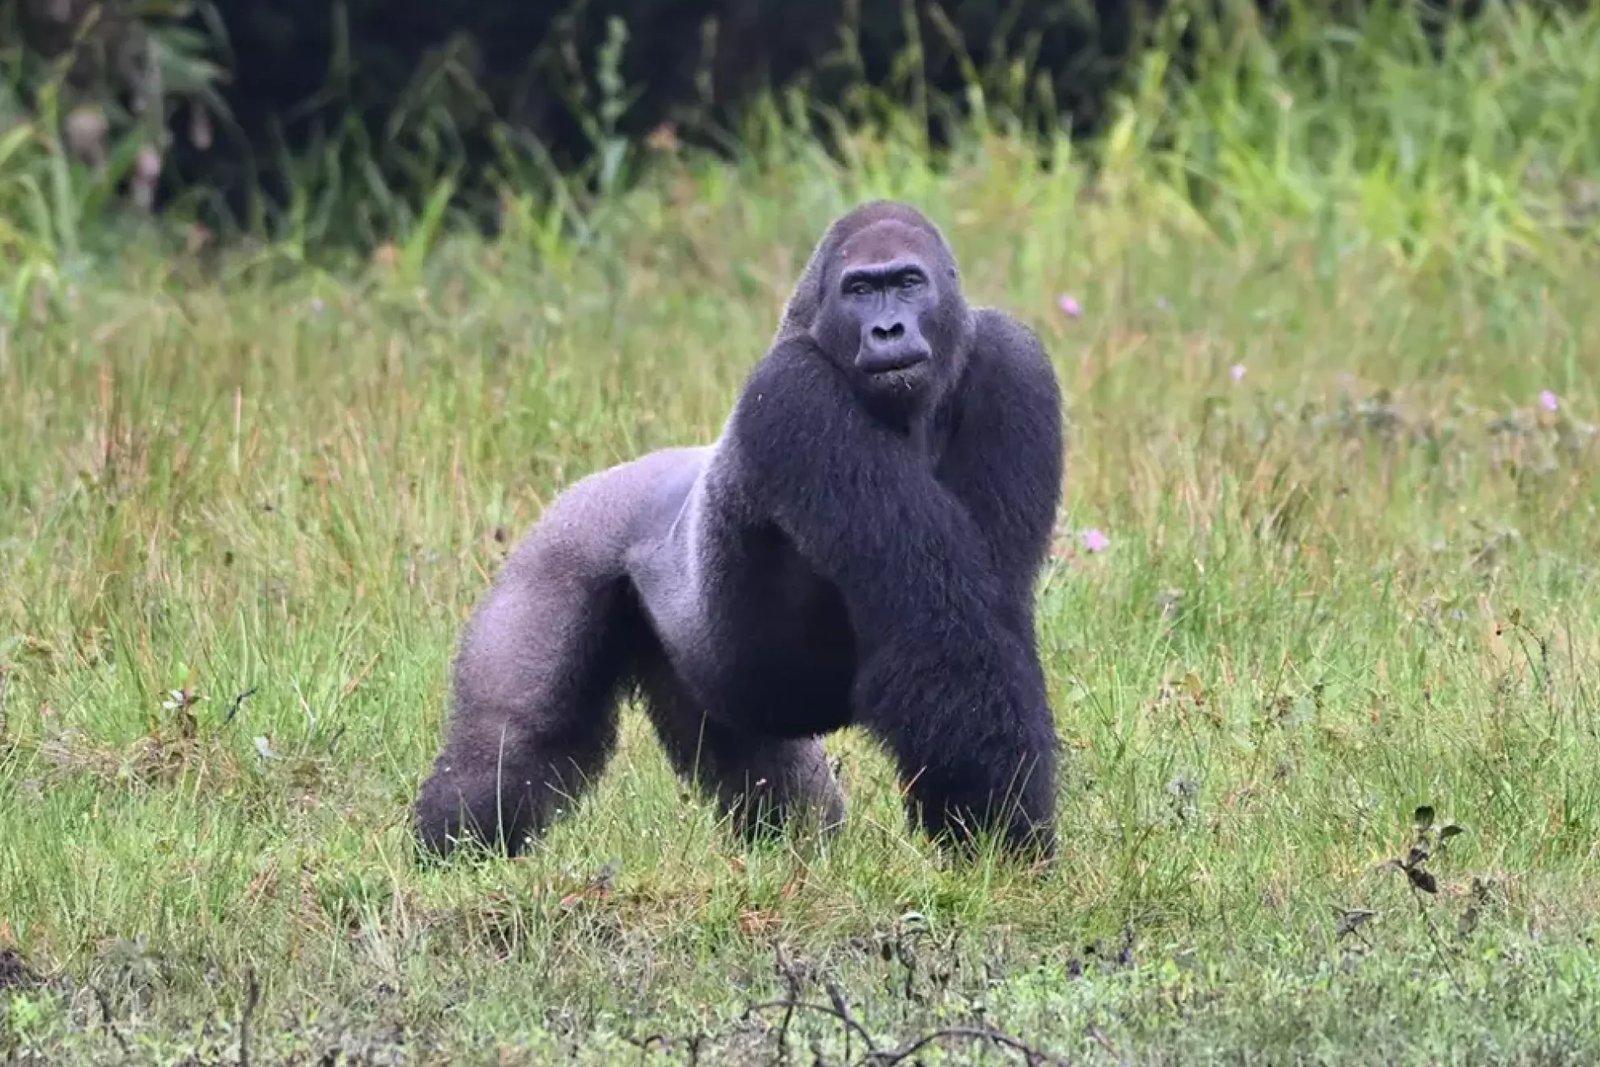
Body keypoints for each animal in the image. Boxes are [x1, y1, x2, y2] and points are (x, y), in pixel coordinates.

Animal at [414, 200, 1065, 862]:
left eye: (908, 282)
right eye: (859, 290)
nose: (888, 330)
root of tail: (590, 488)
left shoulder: (1012, 361)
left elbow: (987, 613)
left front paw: (995, 831)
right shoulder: (792, 390)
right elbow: (940, 627)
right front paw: (995, 832)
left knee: (773, 781)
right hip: (561, 555)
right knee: (514, 739)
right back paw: (457, 848)